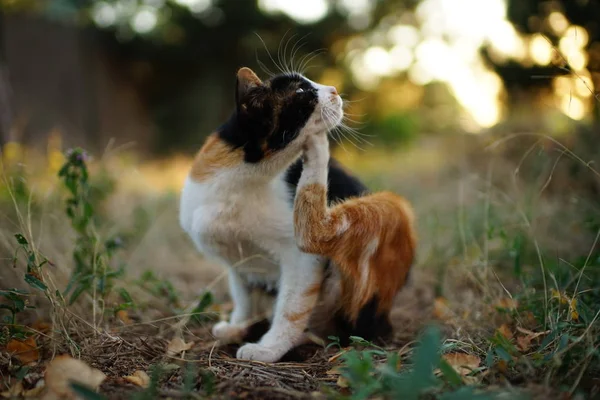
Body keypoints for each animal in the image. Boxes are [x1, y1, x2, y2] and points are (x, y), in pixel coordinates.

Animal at [179, 66, 418, 362]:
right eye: (302, 90)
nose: (334, 90)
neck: (241, 182)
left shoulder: (301, 259)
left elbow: (291, 308)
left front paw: (269, 348)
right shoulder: (237, 264)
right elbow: (243, 298)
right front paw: (239, 324)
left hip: (384, 213)